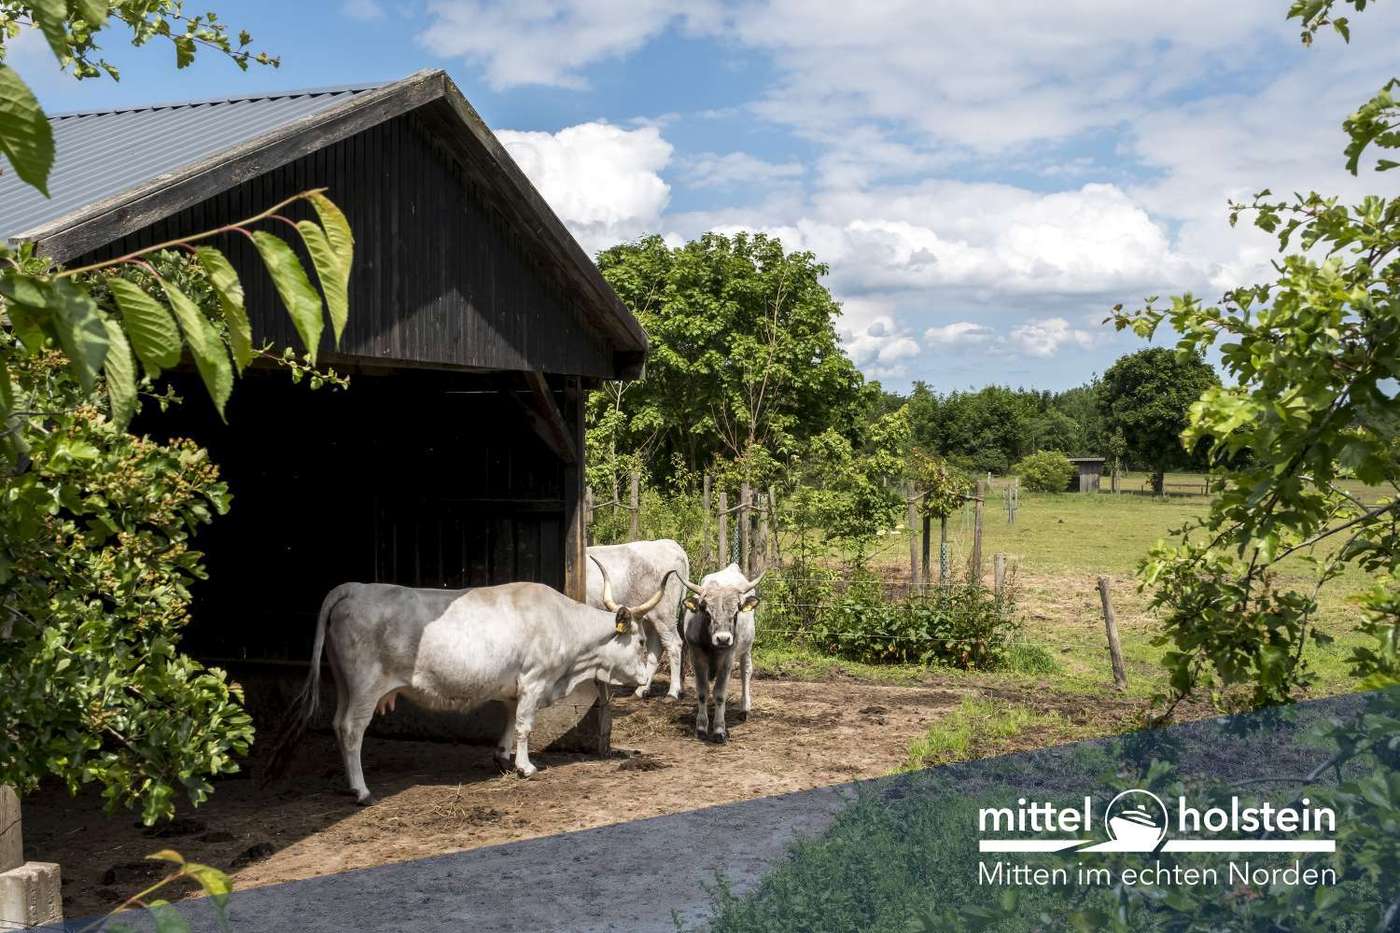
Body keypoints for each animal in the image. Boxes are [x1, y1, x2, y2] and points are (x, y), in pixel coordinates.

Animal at [585, 537, 688, 697]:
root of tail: (667, 543)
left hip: (664, 615)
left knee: (674, 644)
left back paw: (673, 692)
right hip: (649, 618)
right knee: (655, 648)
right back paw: (641, 690)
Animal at [680, 560, 767, 739]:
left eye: (735, 613)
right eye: (707, 612)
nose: (723, 639)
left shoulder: (727, 659)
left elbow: (720, 693)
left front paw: (719, 729)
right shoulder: (696, 657)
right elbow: (702, 692)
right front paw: (701, 727)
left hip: (746, 648)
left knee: (746, 672)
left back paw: (744, 708)